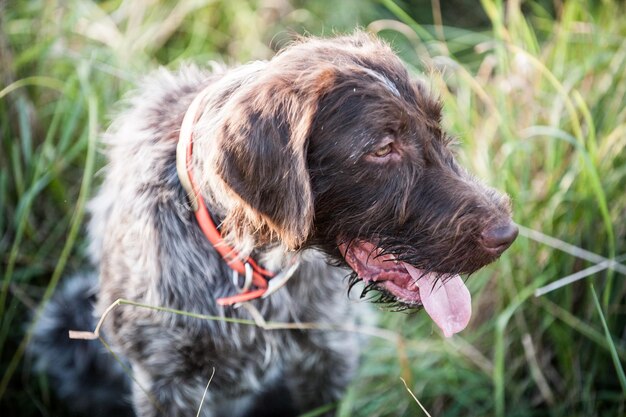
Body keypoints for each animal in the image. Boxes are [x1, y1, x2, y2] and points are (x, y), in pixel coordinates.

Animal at [31, 31, 516, 416]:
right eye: (382, 149)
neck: (254, 260)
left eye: (436, 130)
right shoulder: (166, 384)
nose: (507, 235)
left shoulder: (329, 359)